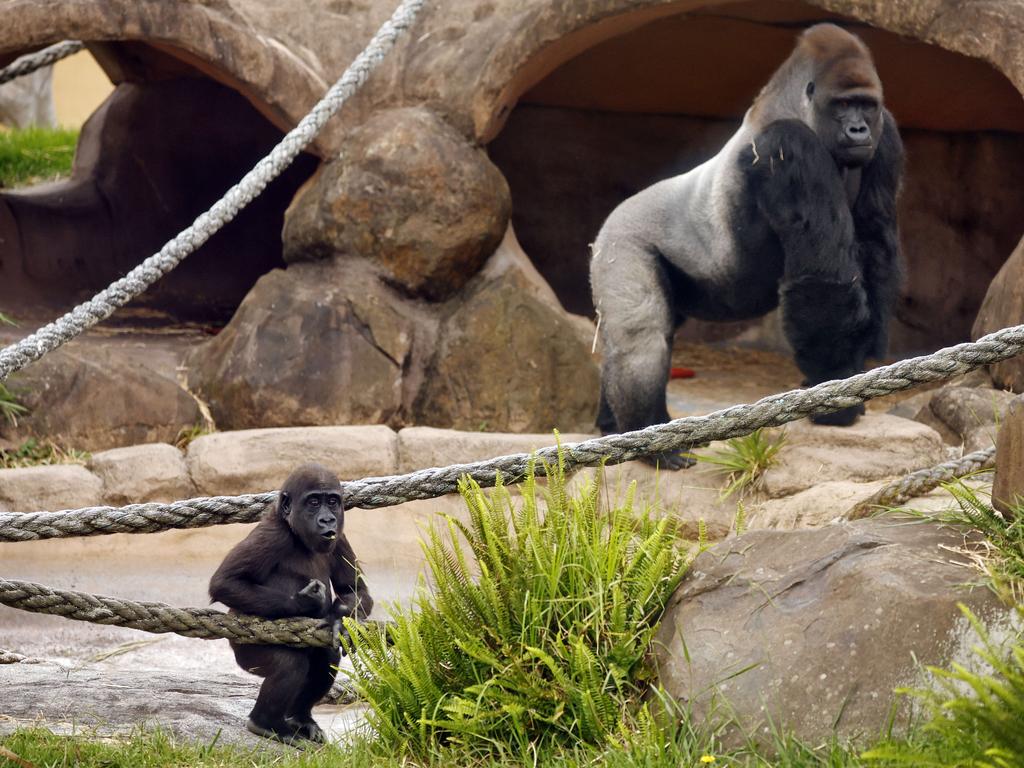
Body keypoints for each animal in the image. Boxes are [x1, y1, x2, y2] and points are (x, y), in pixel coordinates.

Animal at [207, 462, 372, 745]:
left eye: (332, 501)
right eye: (314, 502)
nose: (328, 520)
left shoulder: (339, 537)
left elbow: (354, 589)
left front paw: (341, 618)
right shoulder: (272, 534)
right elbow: (226, 583)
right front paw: (307, 603)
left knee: (325, 657)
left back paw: (300, 718)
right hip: (243, 649)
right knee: (288, 665)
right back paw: (266, 724)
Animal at [593, 24, 905, 468]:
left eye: (866, 106)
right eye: (843, 105)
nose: (859, 130)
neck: (794, 106)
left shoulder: (886, 131)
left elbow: (876, 242)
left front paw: (854, 370)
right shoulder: (788, 145)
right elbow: (823, 279)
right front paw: (835, 401)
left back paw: (613, 428)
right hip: (621, 240)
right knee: (643, 334)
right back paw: (651, 440)